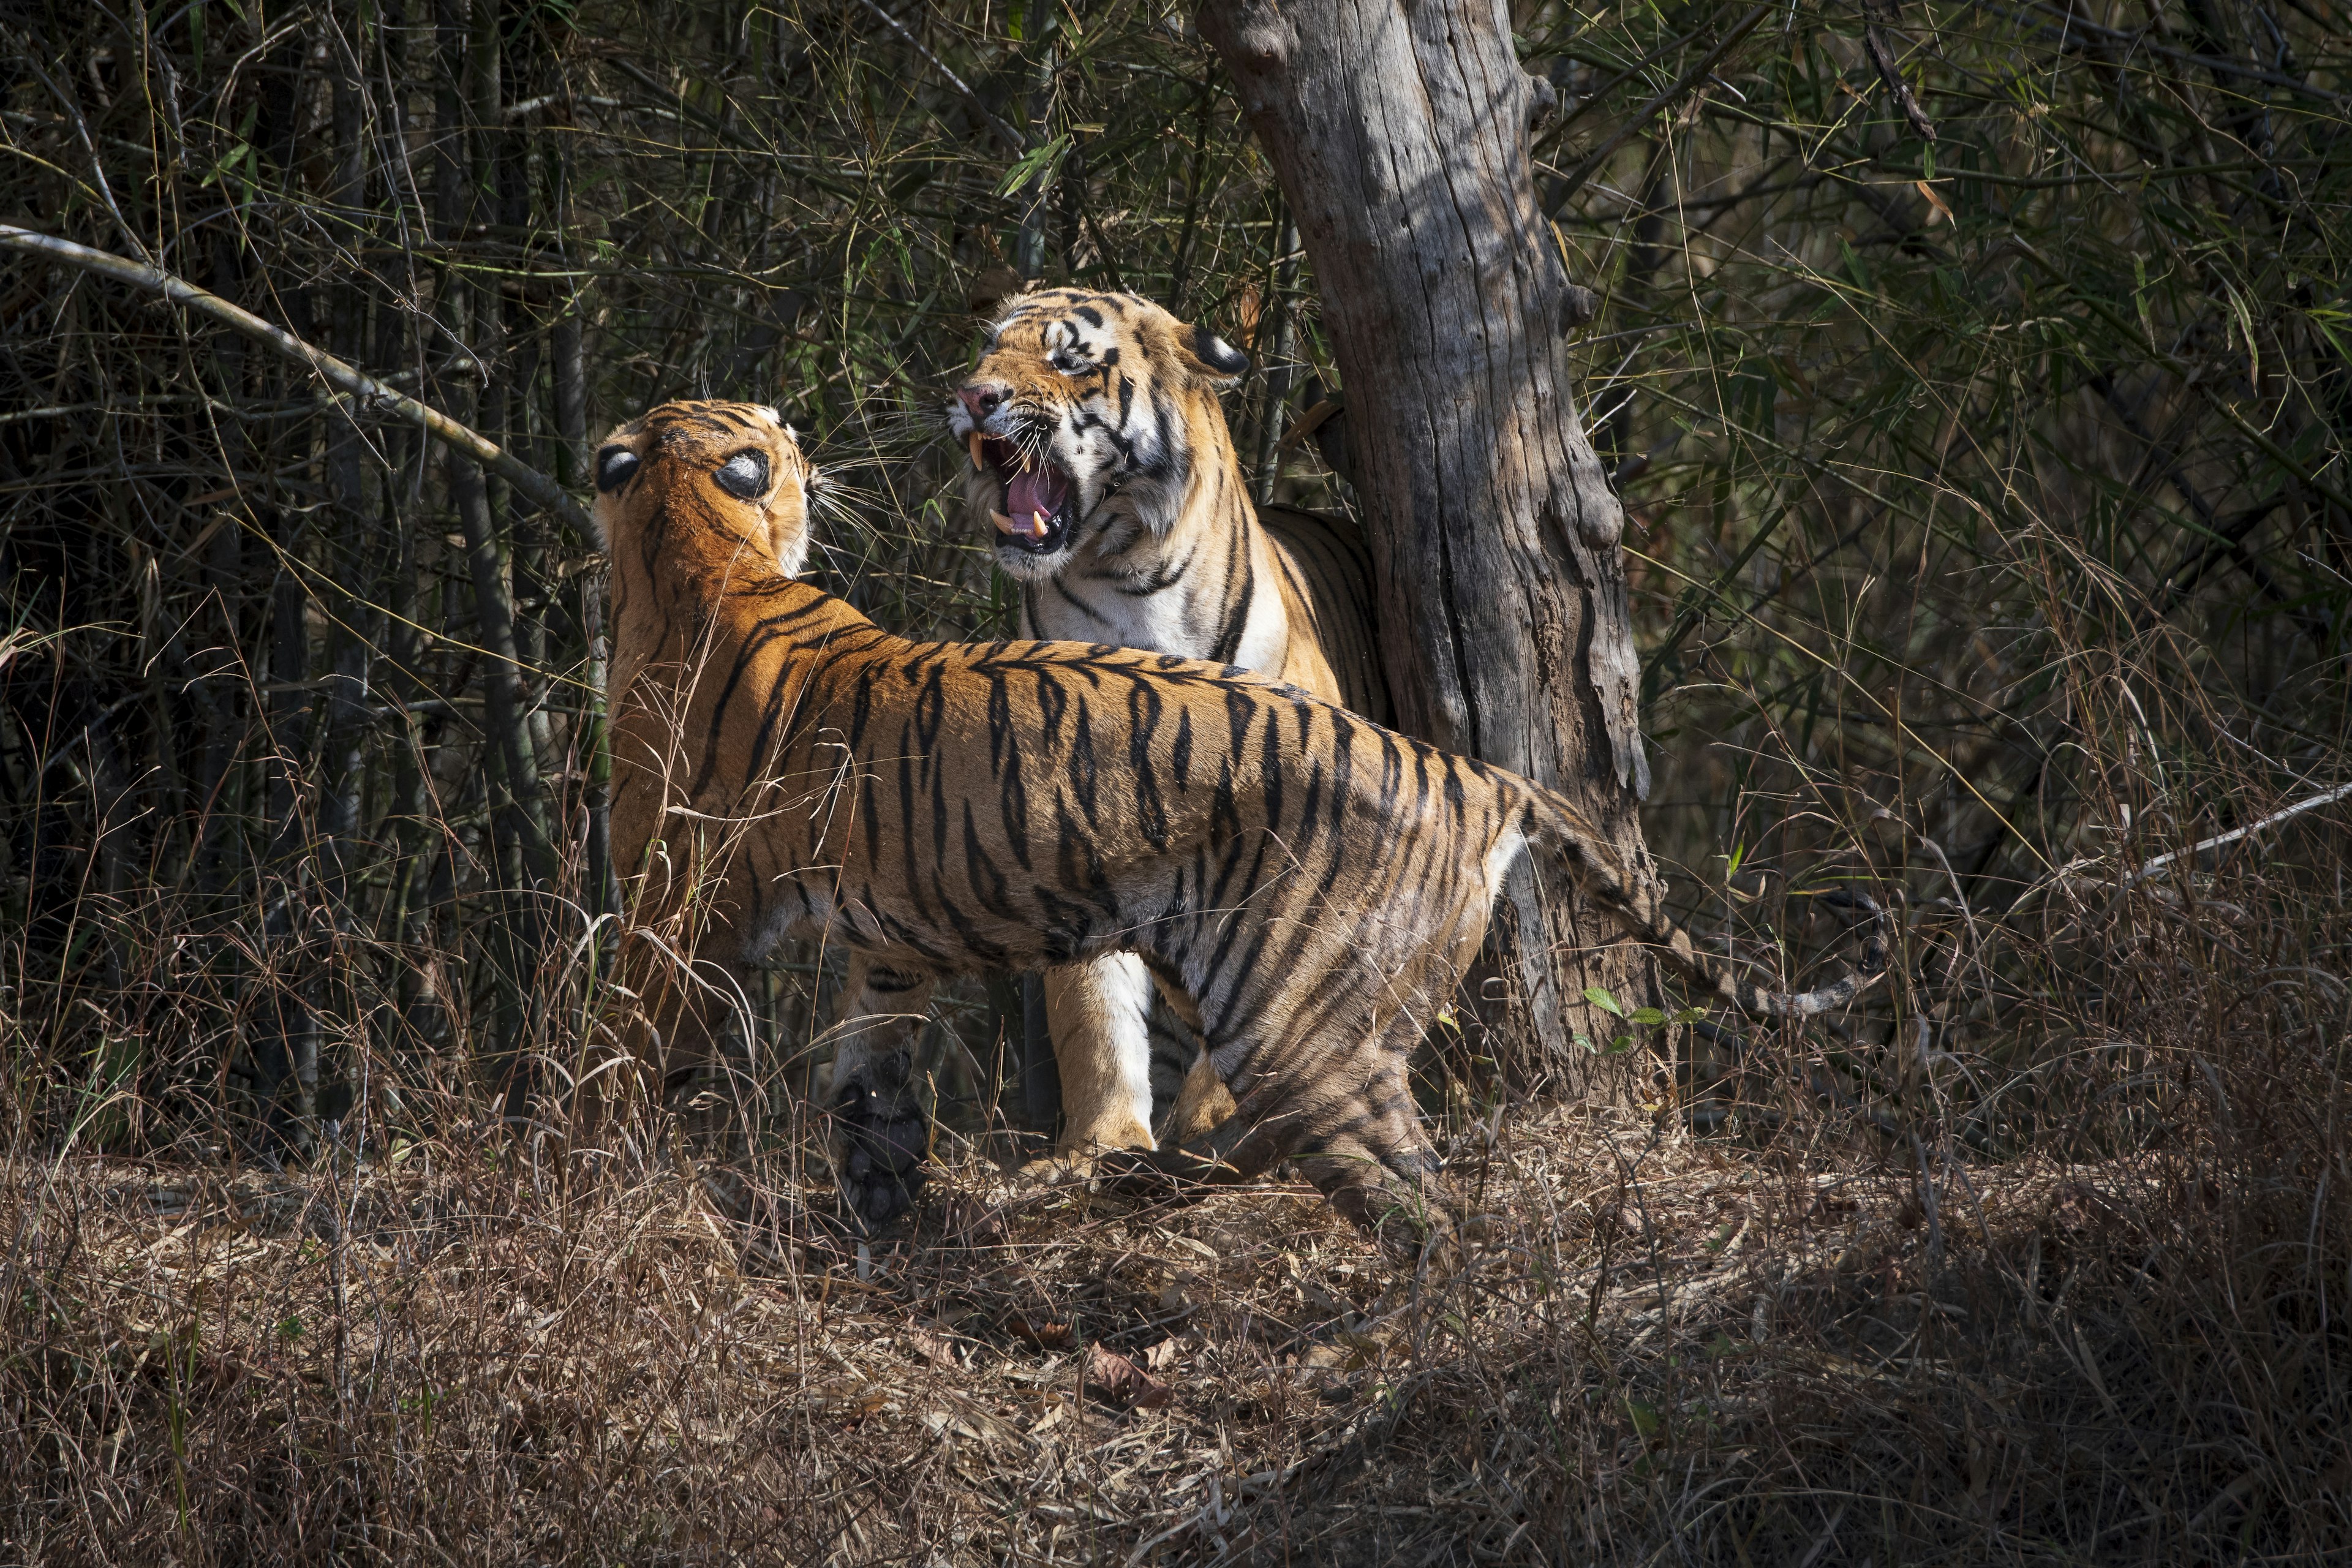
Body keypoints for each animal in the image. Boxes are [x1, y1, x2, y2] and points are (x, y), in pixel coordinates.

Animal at [597, 399, 1882, 1260]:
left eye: (776, 434)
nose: (814, 453)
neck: (693, 554)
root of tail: (1476, 777)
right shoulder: (886, 940)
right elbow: (869, 1079)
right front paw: (878, 1209)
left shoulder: (675, 902)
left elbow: (623, 1046)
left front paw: (590, 1167)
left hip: (1295, 1011)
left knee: (1404, 1188)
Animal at [945, 285, 1382, 1166]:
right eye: (986, 350)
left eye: (1068, 358)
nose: (975, 397)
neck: (1135, 582)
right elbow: (1093, 1012)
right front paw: (1104, 1143)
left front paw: (1208, 1127)